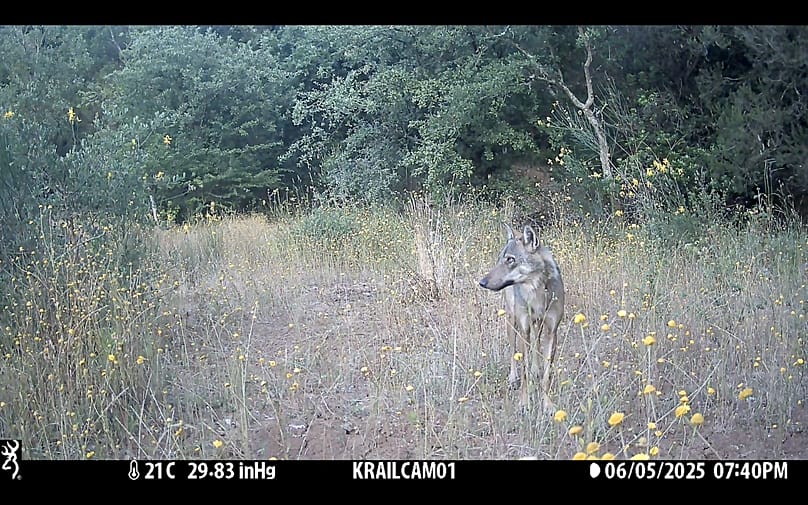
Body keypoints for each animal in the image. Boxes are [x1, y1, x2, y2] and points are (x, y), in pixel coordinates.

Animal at [479, 223, 565, 413]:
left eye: (510, 260)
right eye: (500, 259)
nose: (482, 283)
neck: (537, 291)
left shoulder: (552, 331)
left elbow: (546, 375)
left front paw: (547, 405)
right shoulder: (524, 329)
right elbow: (524, 370)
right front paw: (524, 403)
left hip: (537, 326)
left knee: (535, 346)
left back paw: (535, 370)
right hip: (513, 324)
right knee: (513, 352)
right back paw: (513, 378)